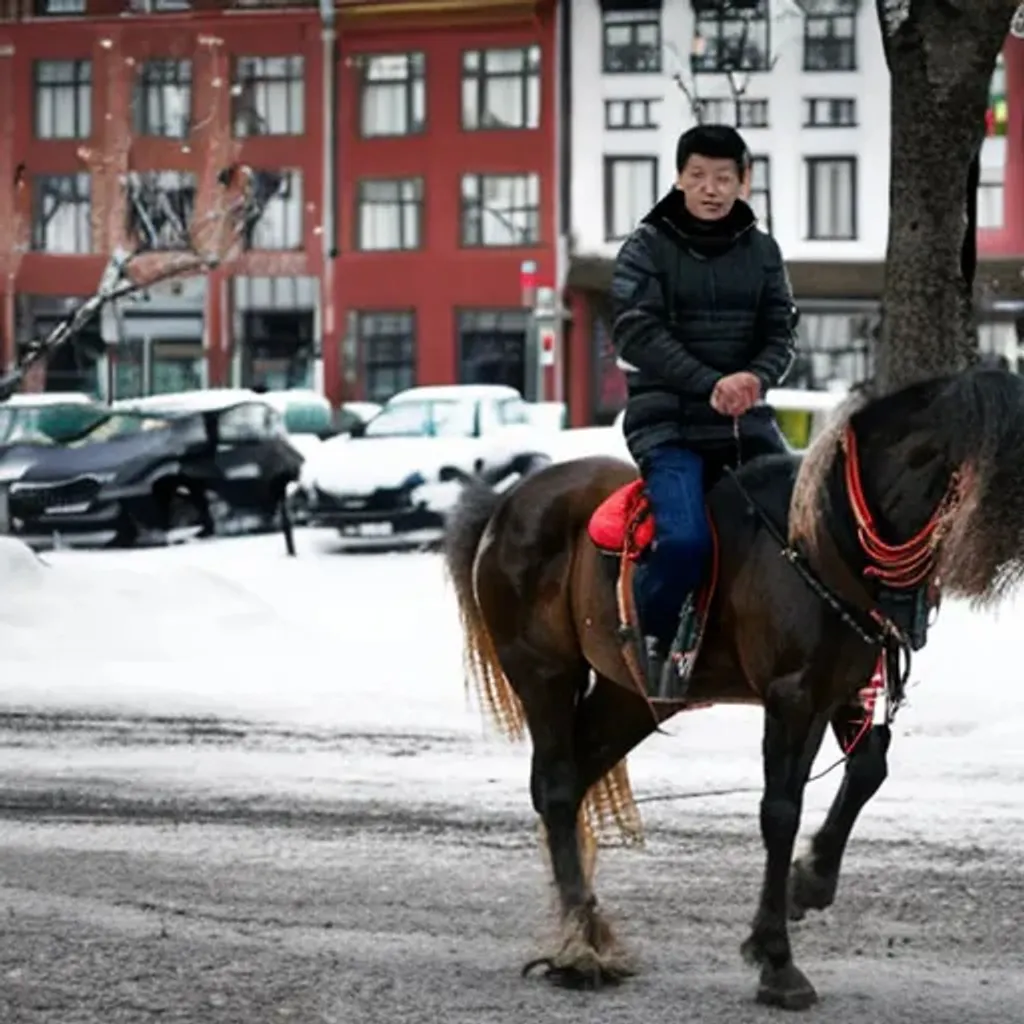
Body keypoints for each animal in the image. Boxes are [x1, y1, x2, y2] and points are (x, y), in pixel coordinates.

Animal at [442, 366, 1024, 1007]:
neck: (821, 535)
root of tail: (505, 505)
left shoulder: (844, 686)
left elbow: (870, 767)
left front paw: (809, 883)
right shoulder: (792, 696)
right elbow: (781, 810)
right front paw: (776, 959)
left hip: (631, 698)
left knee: (576, 777)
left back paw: (587, 931)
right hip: (544, 670)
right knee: (558, 787)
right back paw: (581, 946)